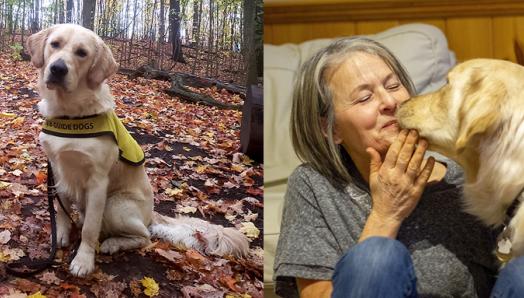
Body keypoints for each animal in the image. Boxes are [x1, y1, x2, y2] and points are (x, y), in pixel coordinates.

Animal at [26, 23, 250, 278]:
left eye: (82, 53)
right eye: (55, 44)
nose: (57, 69)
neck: (70, 114)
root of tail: (151, 215)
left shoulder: (98, 182)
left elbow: (90, 230)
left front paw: (83, 261)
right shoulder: (58, 170)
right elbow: (61, 210)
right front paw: (61, 236)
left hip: (114, 205)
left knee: (144, 237)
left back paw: (113, 243)